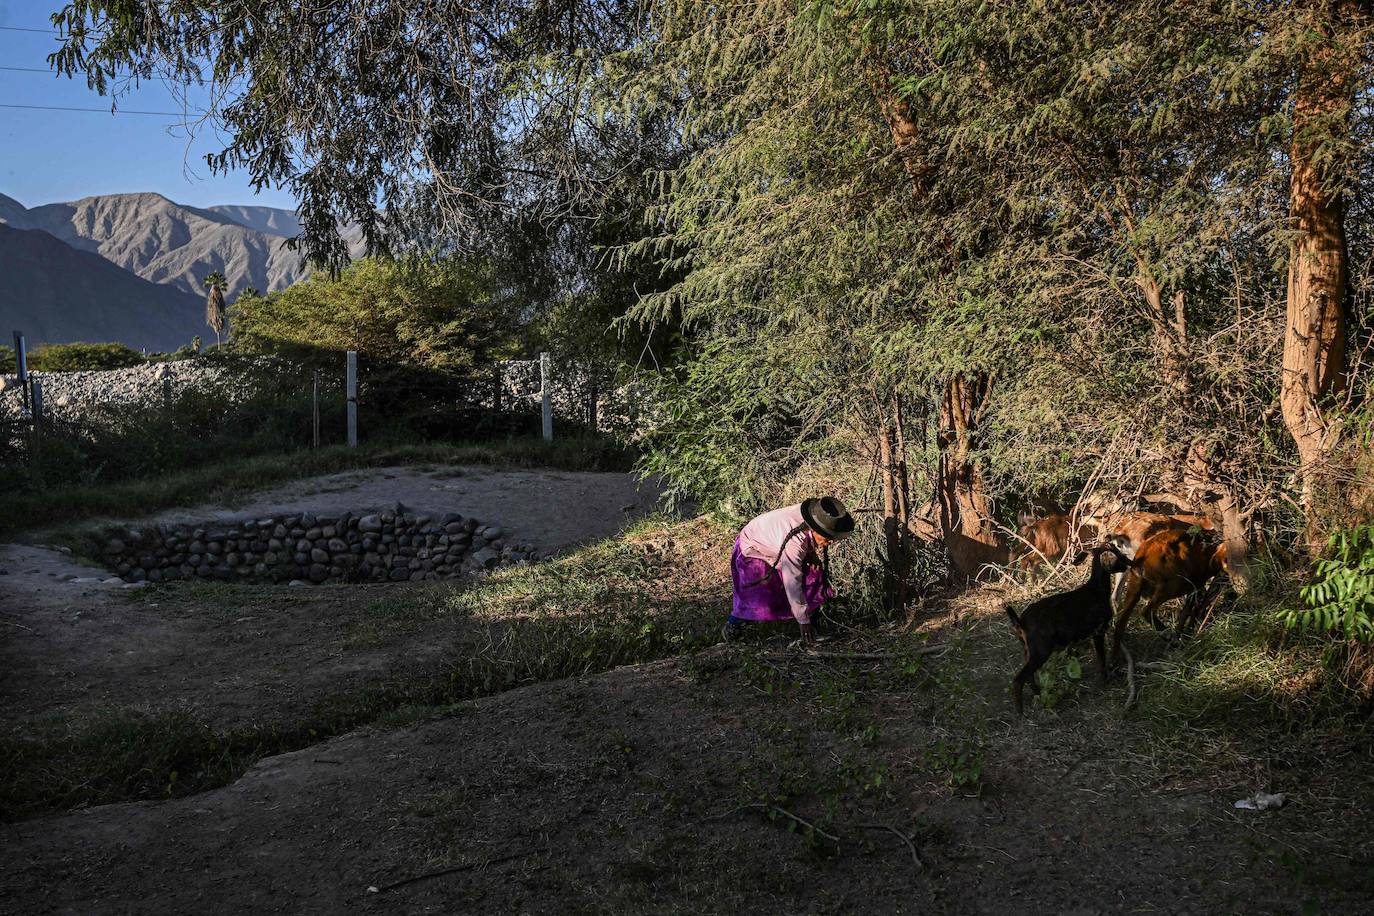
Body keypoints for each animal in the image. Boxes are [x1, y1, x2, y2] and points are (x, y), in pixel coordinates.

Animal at [1005, 543, 1132, 714]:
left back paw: (1038, 693)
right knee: (1019, 678)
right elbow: (1101, 657)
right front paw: (1104, 680)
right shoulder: (1098, 630)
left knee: (1028, 675)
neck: (1096, 590)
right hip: (1041, 649)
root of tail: (1020, 621)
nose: (1127, 564)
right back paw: (1020, 711)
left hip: (1027, 649)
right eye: (1116, 554)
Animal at [1104, 527, 1236, 661]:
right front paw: (1186, 636)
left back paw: (1114, 660)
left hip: (1135, 589)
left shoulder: (1196, 588)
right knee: (1147, 612)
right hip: (1174, 586)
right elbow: (1193, 611)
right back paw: (1169, 636)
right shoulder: (1197, 586)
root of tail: (1142, 556)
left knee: (1120, 624)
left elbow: (1187, 613)